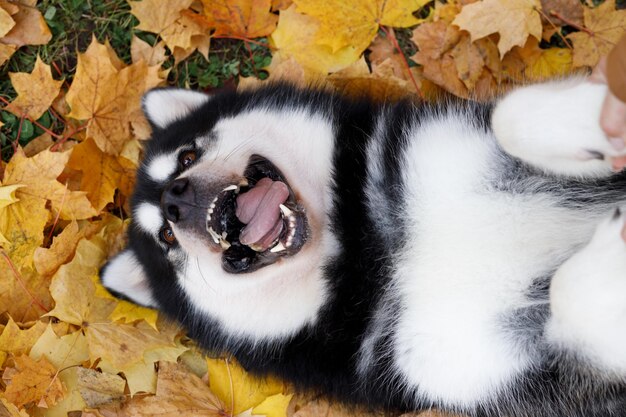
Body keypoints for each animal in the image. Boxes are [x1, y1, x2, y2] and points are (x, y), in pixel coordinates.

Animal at [100, 79, 624, 416]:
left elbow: (507, 116)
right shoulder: (494, 367)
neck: (371, 245)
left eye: (187, 155)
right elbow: (573, 308)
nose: (173, 200)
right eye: (165, 239)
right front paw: (605, 275)